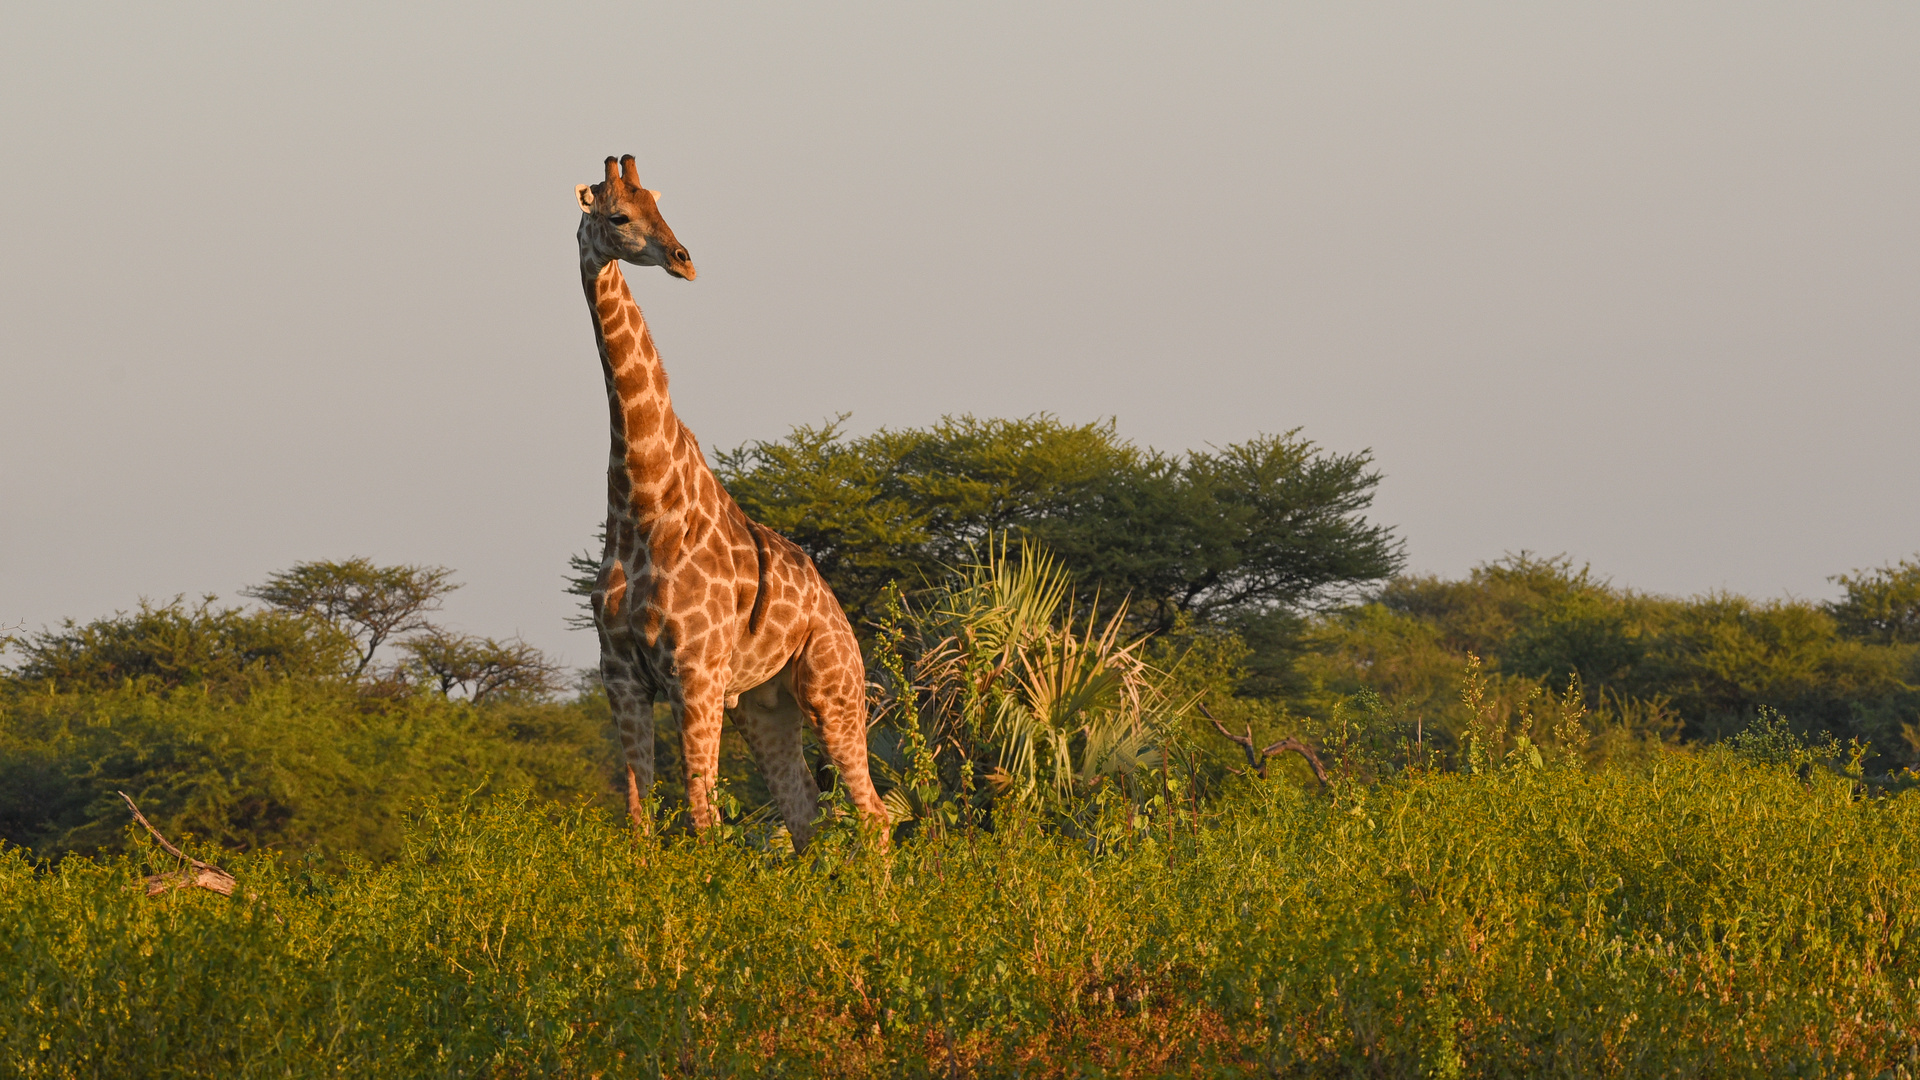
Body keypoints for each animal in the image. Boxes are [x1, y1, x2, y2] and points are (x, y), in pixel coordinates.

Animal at [572, 151, 894, 849]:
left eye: (660, 204)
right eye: (620, 215)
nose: (683, 258)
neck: (641, 504)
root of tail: (838, 612)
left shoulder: (695, 672)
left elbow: (702, 817)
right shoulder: (621, 676)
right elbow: (641, 820)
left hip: (832, 689)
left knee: (874, 815)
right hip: (765, 706)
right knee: (805, 812)